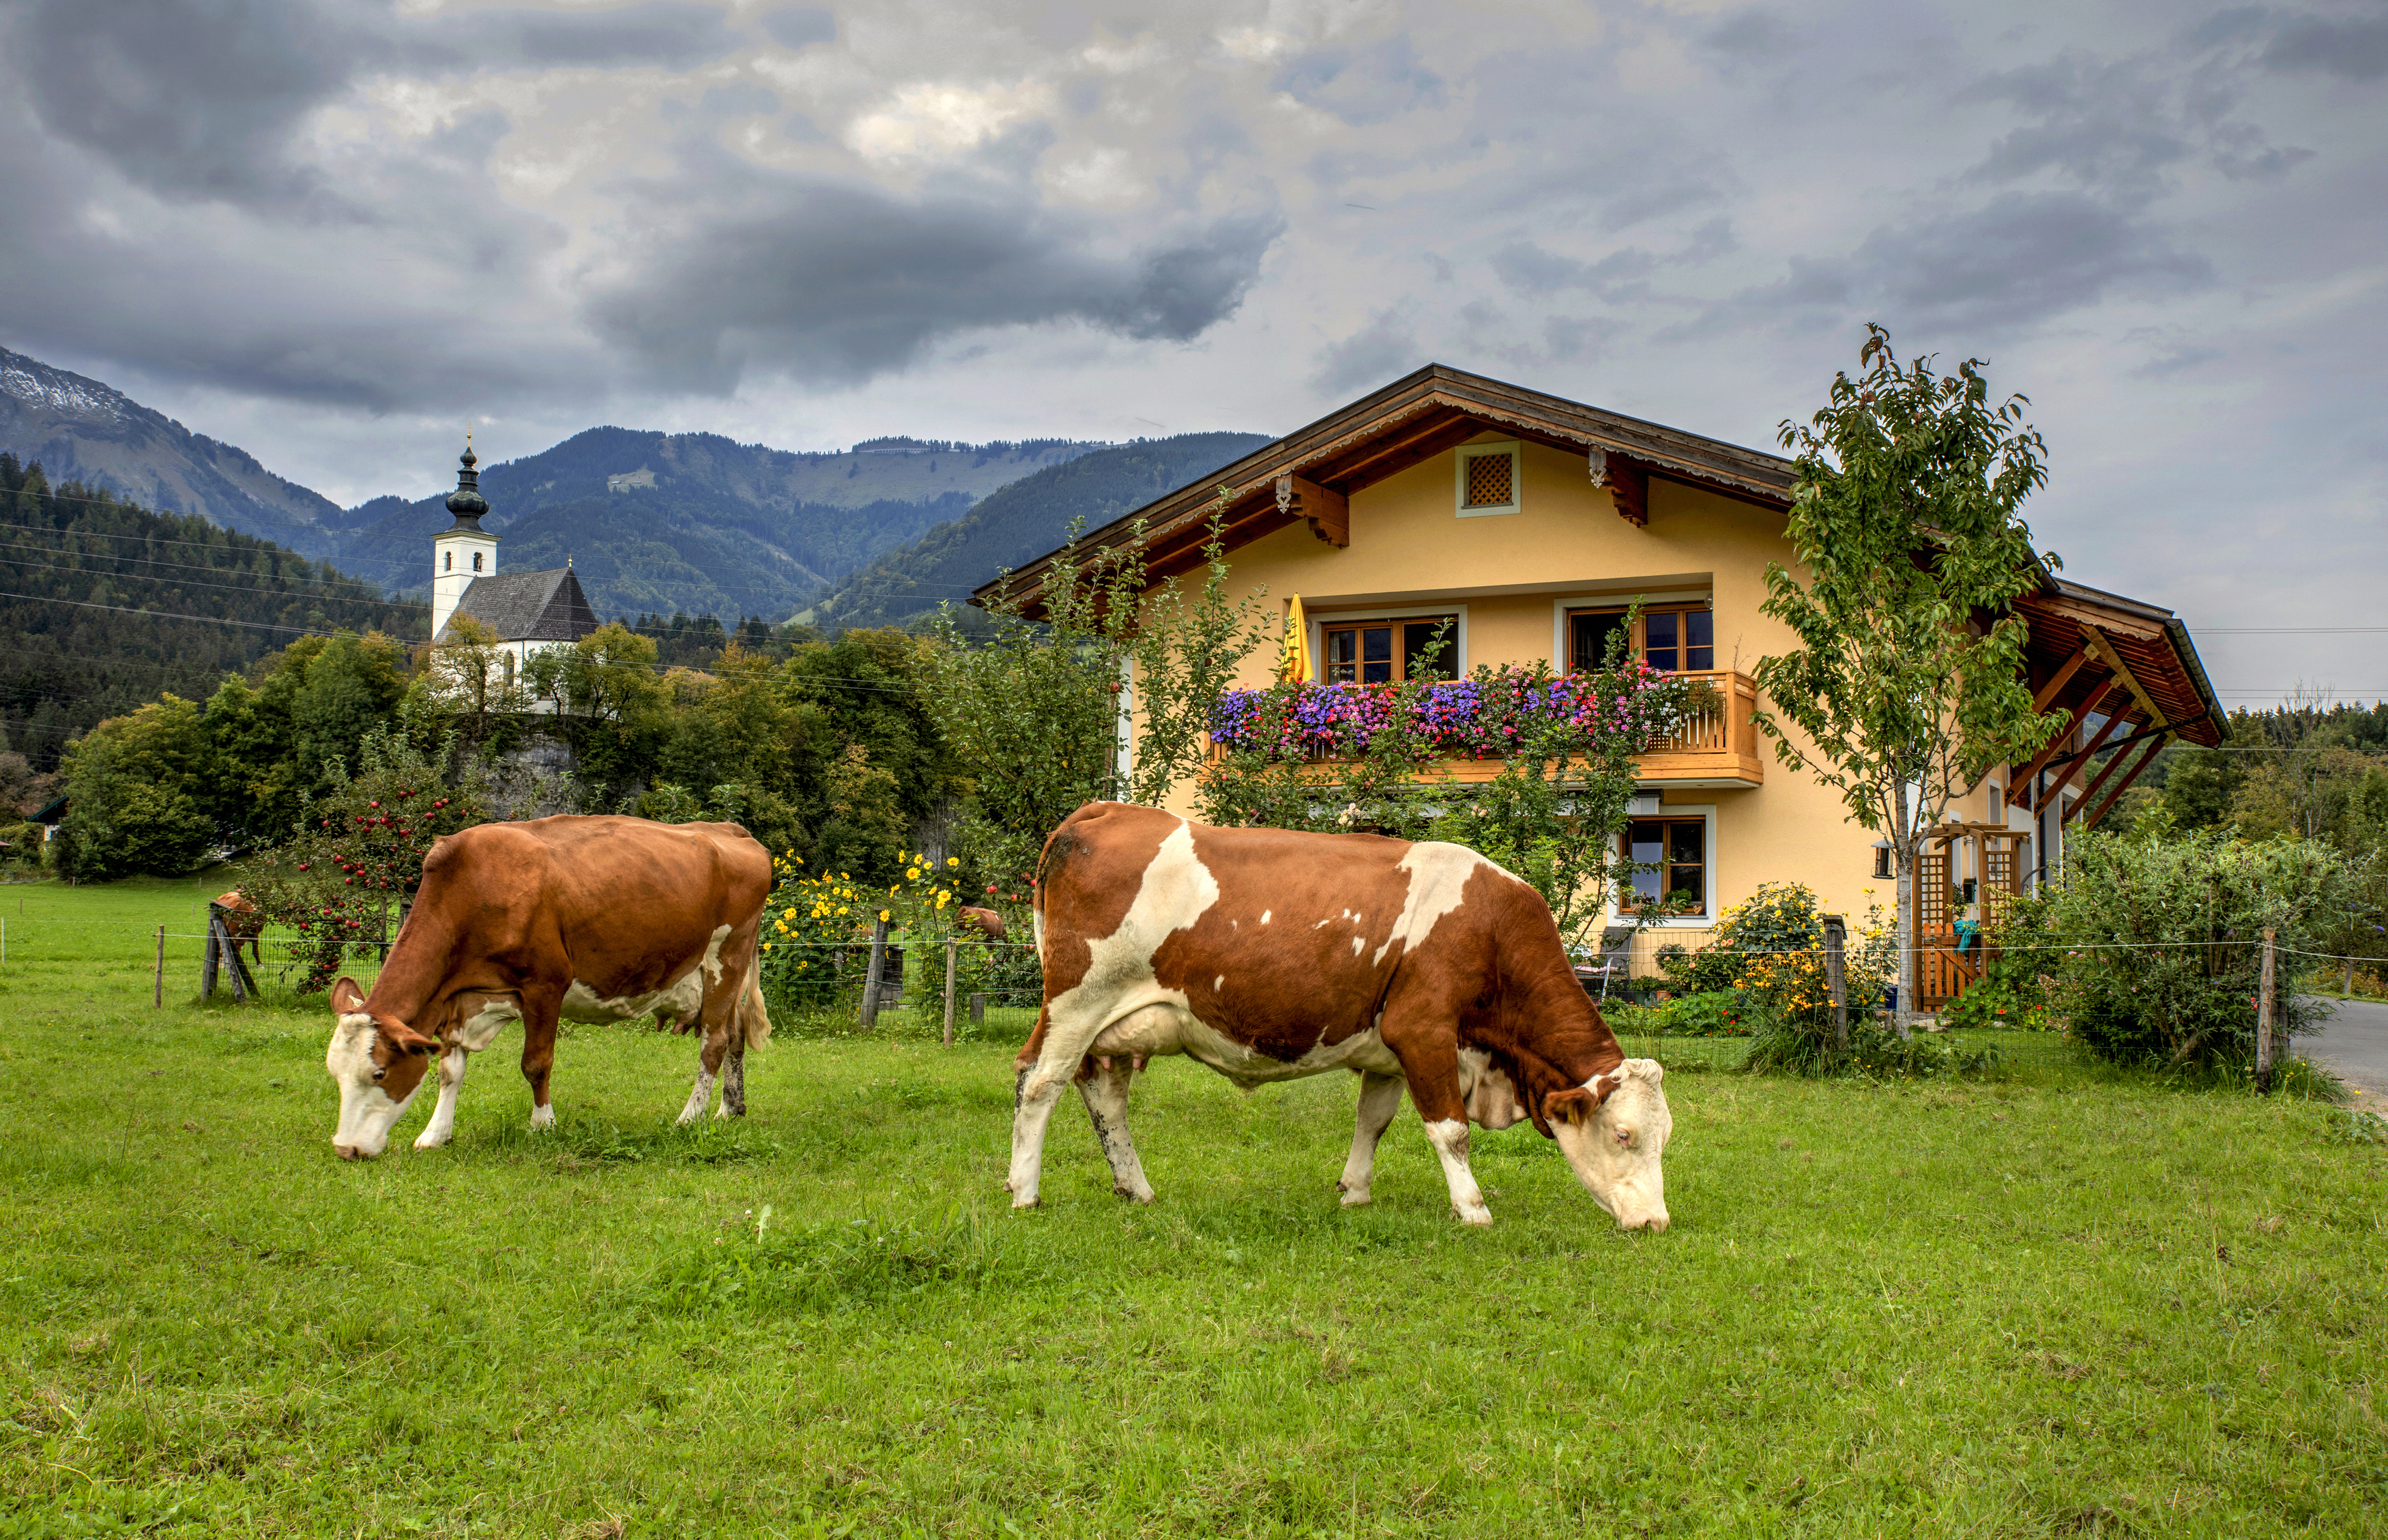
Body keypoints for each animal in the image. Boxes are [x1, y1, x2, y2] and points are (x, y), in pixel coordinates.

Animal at [322, 816, 769, 1155]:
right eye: (335, 1074)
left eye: (379, 1073)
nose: (345, 1149)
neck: (472, 888)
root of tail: (731, 829)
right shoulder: (458, 998)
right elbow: (449, 1070)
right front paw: (435, 1133)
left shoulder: (545, 985)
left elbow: (536, 1064)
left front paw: (543, 1125)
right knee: (734, 1036)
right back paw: (729, 1108)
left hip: (726, 958)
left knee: (713, 1043)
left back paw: (689, 1118)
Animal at [1017, 807, 1672, 1222]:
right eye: (1623, 1133)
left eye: (1665, 1135)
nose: (1655, 1222)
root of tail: (1105, 810)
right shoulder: (1424, 1031)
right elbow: (1451, 1130)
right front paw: (1473, 1208)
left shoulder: (1388, 1050)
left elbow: (1373, 1121)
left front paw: (1354, 1192)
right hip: (1077, 1002)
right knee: (1038, 1082)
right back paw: (1024, 1193)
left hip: (1113, 1027)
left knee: (1105, 1095)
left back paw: (1137, 1188)